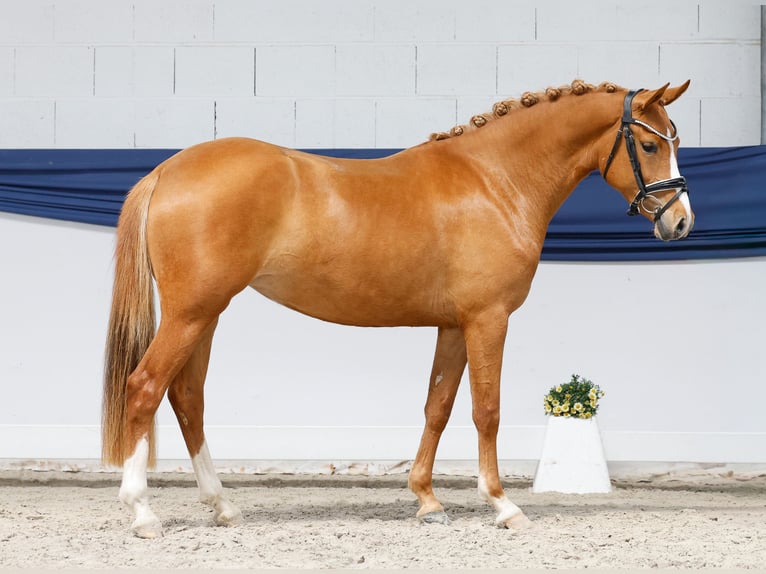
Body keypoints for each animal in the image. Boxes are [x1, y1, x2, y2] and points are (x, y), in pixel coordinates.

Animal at [102, 79, 693, 538]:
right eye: (647, 143)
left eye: (675, 139)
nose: (680, 221)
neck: (494, 180)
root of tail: (166, 171)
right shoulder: (488, 319)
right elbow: (486, 410)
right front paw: (503, 505)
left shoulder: (453, 325)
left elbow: (438, 407)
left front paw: (427, 501)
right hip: (191, 314)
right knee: (145, 388)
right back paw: (143, 513)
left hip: (205, 315)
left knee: (187, 398)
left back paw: (222, 505)